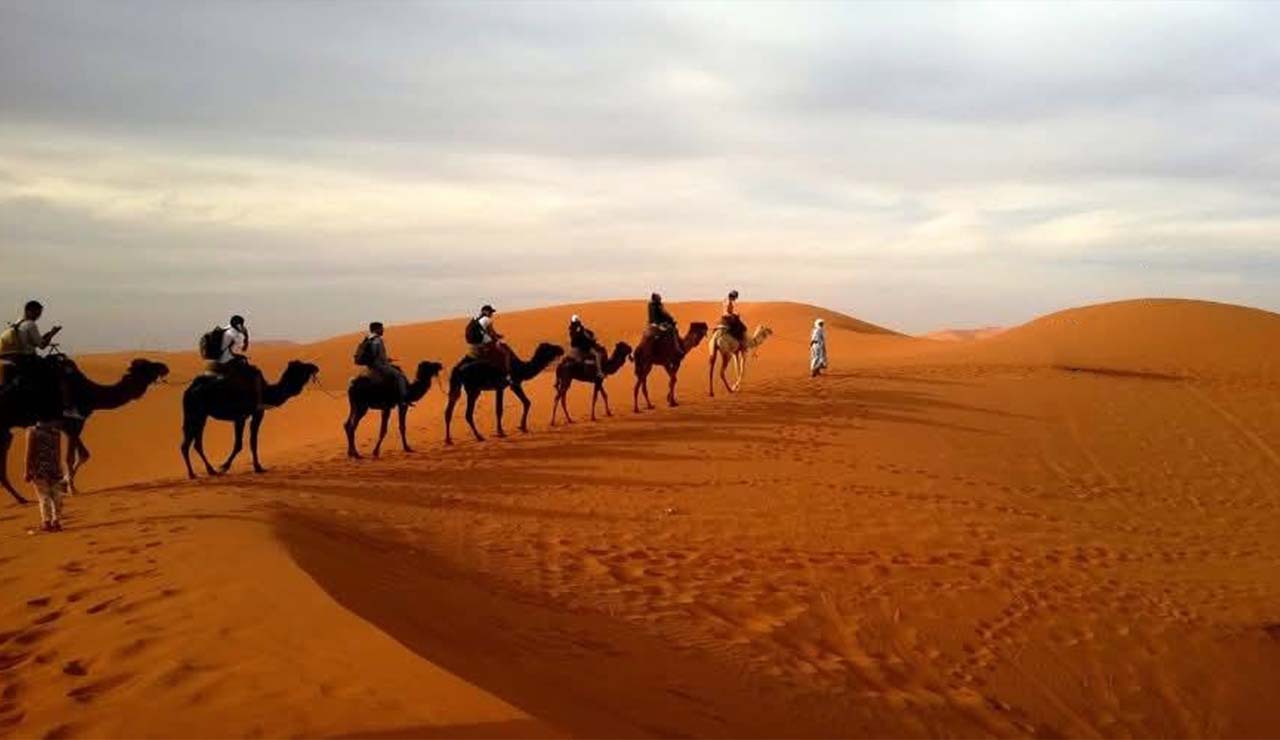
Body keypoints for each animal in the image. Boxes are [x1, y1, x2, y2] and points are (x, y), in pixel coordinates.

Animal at [0, 357, 170, 504]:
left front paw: (64, 485)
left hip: (6, 431)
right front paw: (71, 489)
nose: (164, 366)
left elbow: (83, 455)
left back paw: (20, 498)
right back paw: (20, 498)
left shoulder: (73, 425)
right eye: (147, 366)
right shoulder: (71, 423)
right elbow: (69, 458)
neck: (90, 393)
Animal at [180, 360, 320, 479]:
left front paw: (256, 467)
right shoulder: (244, 416)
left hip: (200, 415)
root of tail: (189, 390)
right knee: (189, 443)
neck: (265, 392)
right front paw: (226, 466)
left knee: (194, 443)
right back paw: (196, 473)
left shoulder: (253, 414)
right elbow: (242, 443)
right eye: (302, 367)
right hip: (196, 414)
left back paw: (207, 471)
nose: (315, 366)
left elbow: (250, 442)